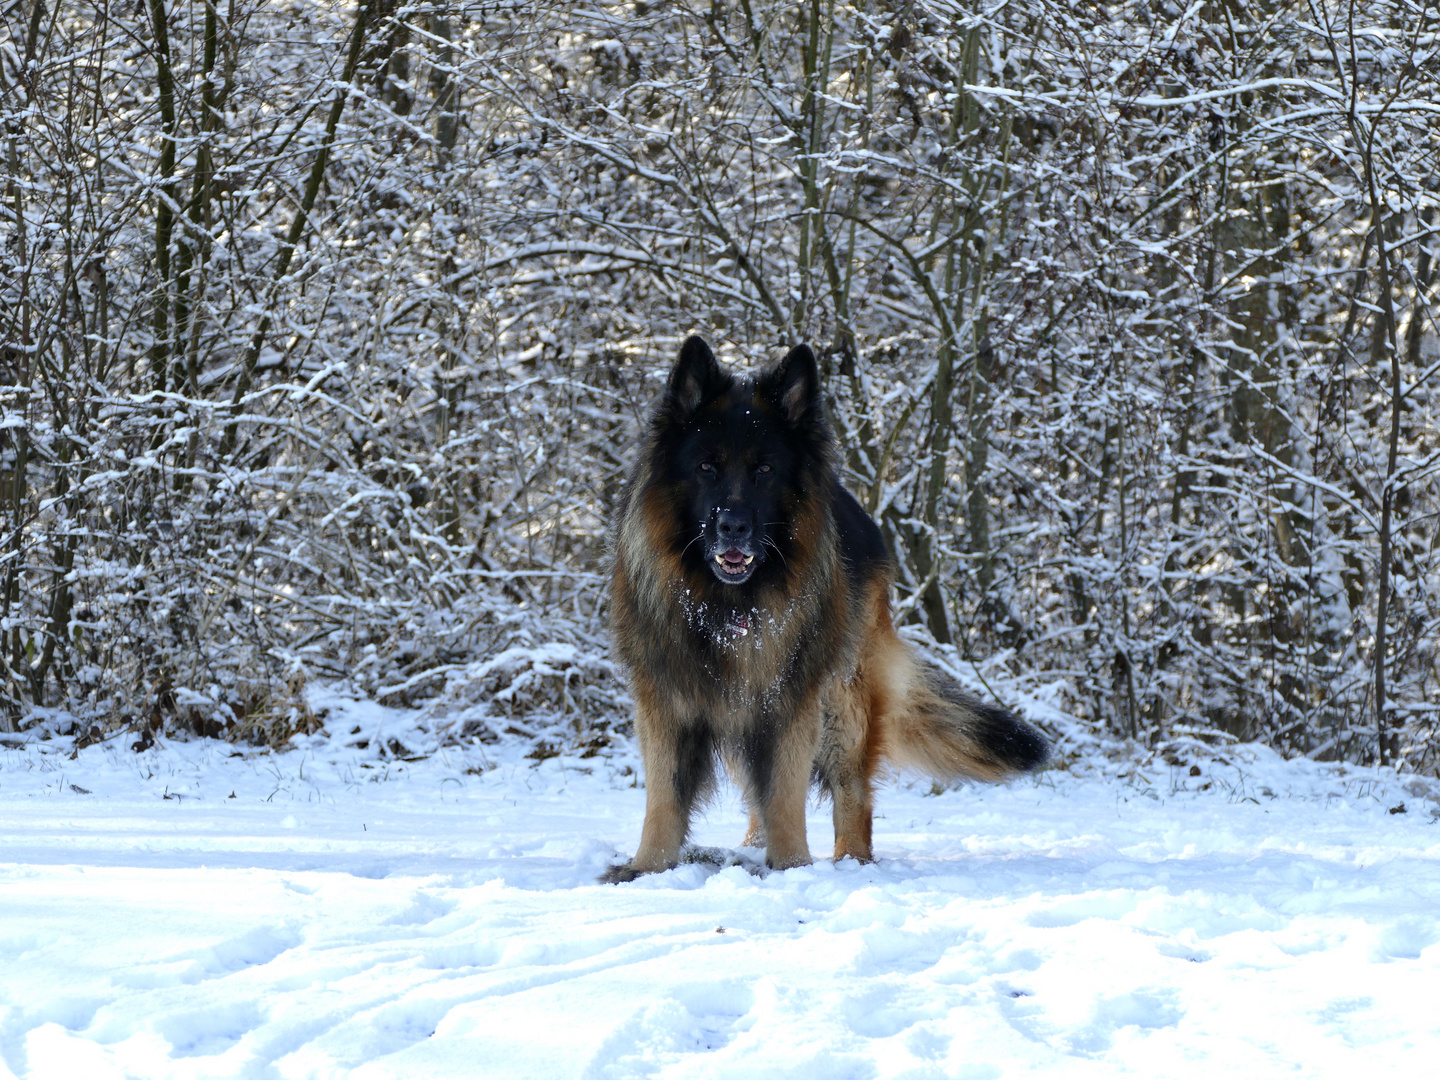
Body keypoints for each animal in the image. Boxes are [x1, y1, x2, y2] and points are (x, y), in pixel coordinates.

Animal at [599, 336, 1048, 881]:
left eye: (765, 471)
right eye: (706, 467)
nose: (733, 527)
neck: (728, 607)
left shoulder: (793, 700)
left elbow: (785, 794)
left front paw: (792, 868)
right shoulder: (665, 697)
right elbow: (664, 797)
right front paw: (647, 868)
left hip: (842, 702)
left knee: (851, 794)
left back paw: (850, 865)